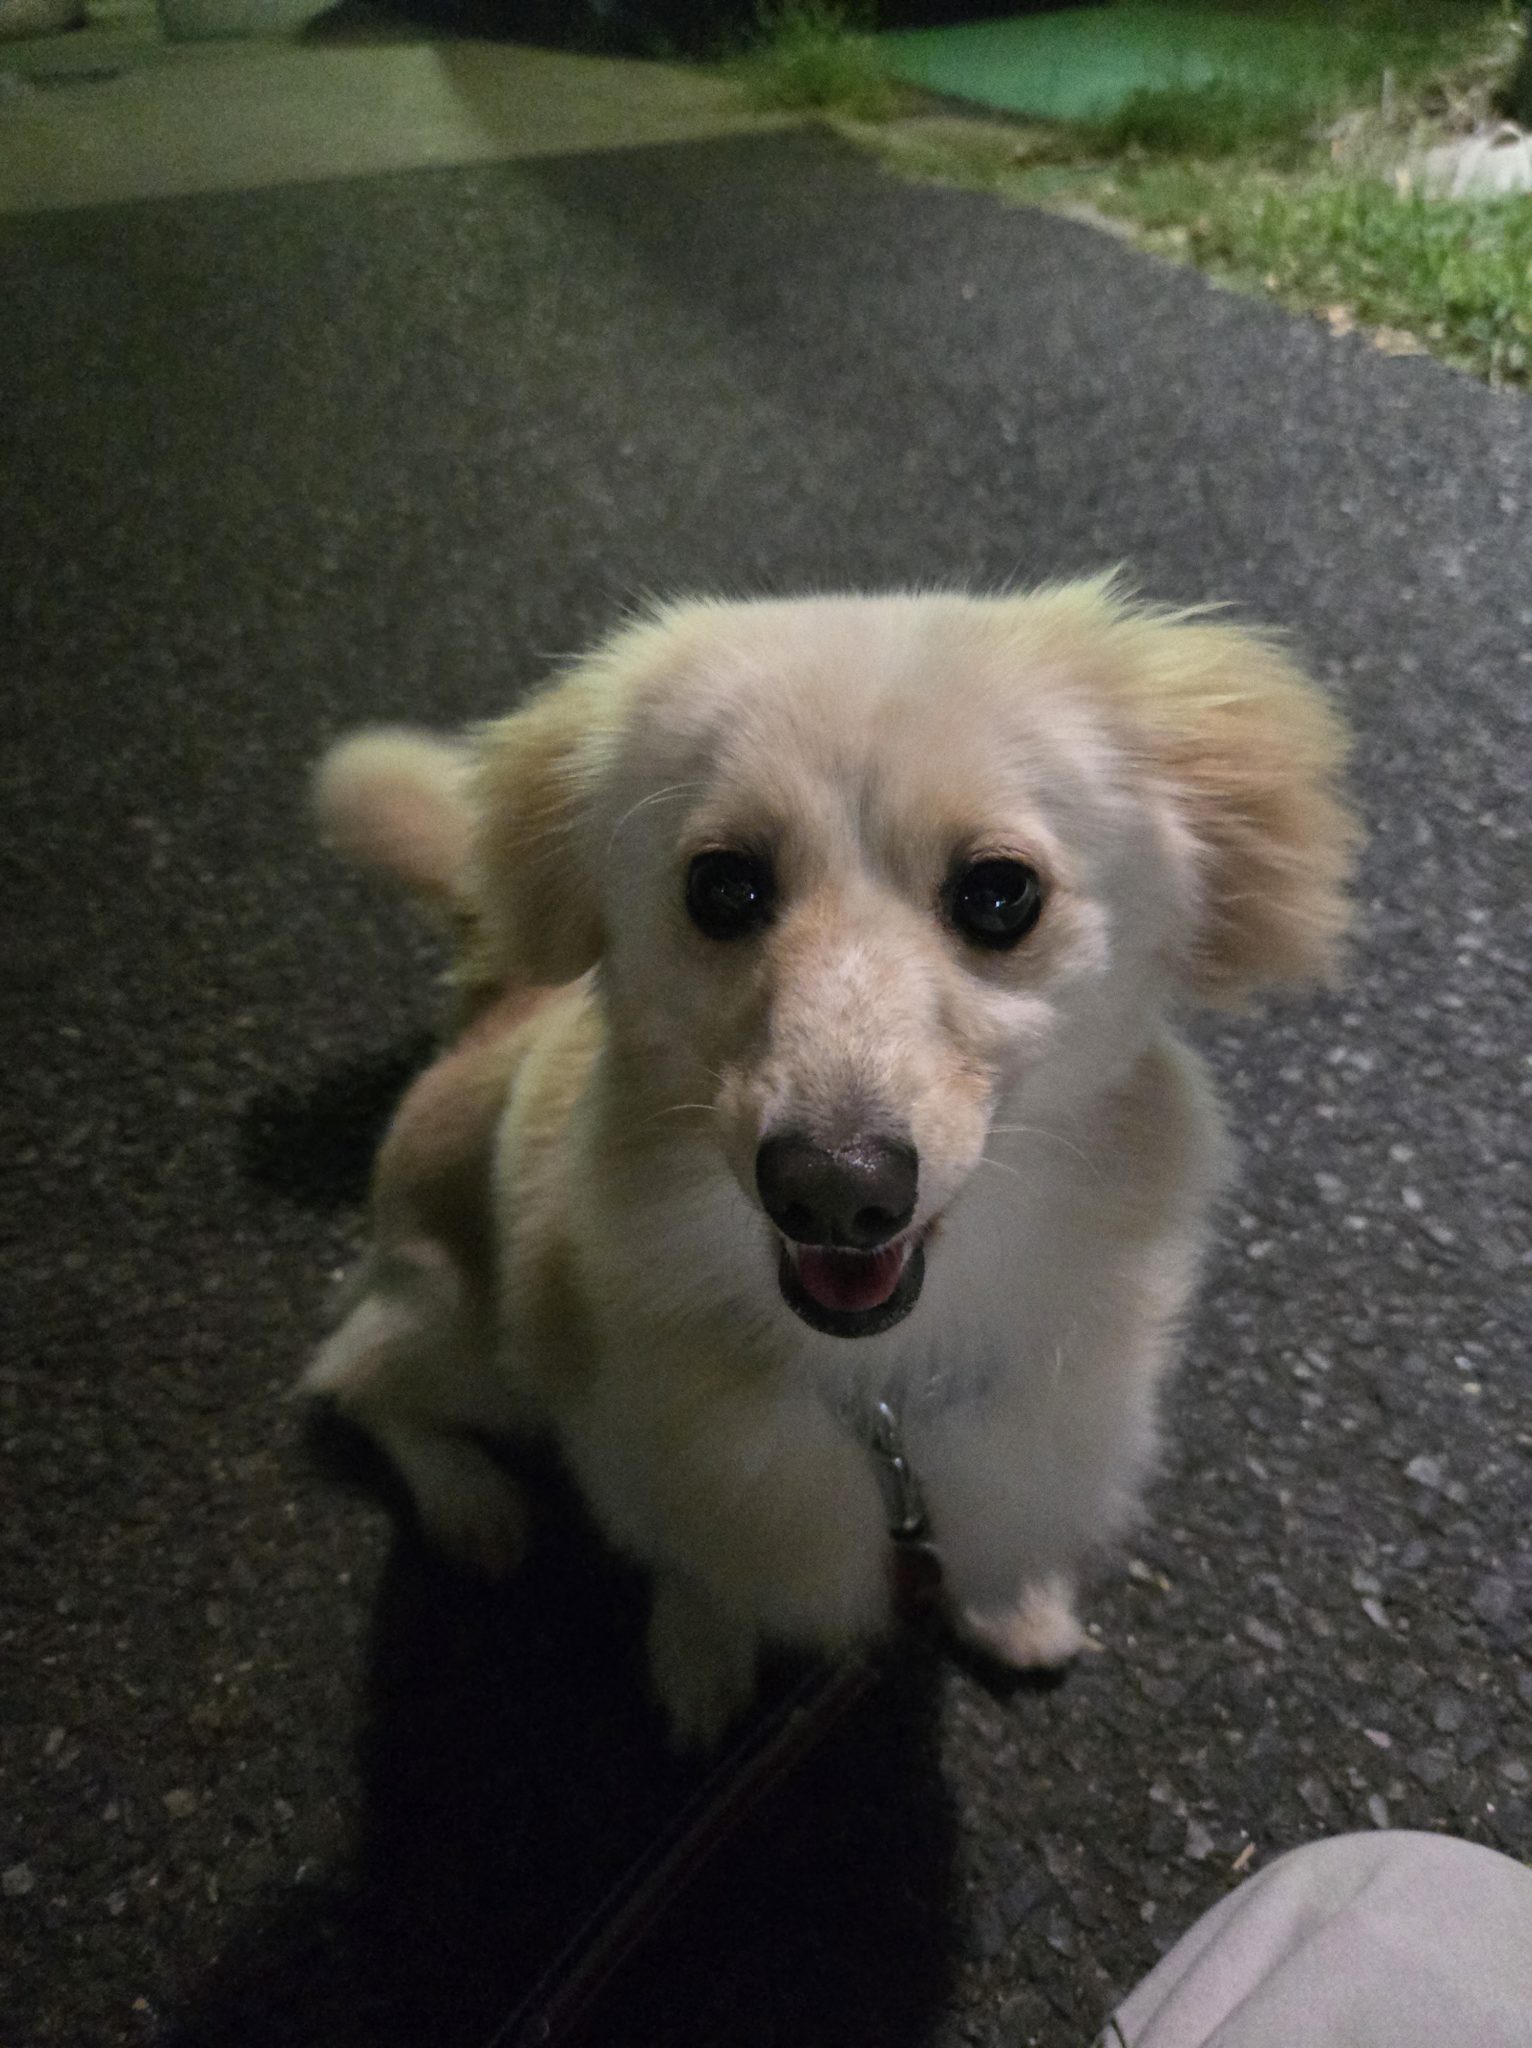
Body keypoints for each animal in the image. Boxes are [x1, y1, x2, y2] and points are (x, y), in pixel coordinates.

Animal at [303, 578, 1356, 1746]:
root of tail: (493, 1006)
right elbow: (696, 1568)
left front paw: (1015, 1606)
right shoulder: (644, 1460)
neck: (882, 1396)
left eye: (1001, 893)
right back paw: (471, 1504)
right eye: (722, 886)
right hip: (472, 1339)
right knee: (351, 1373)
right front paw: (700, 1664)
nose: (837, 1192)